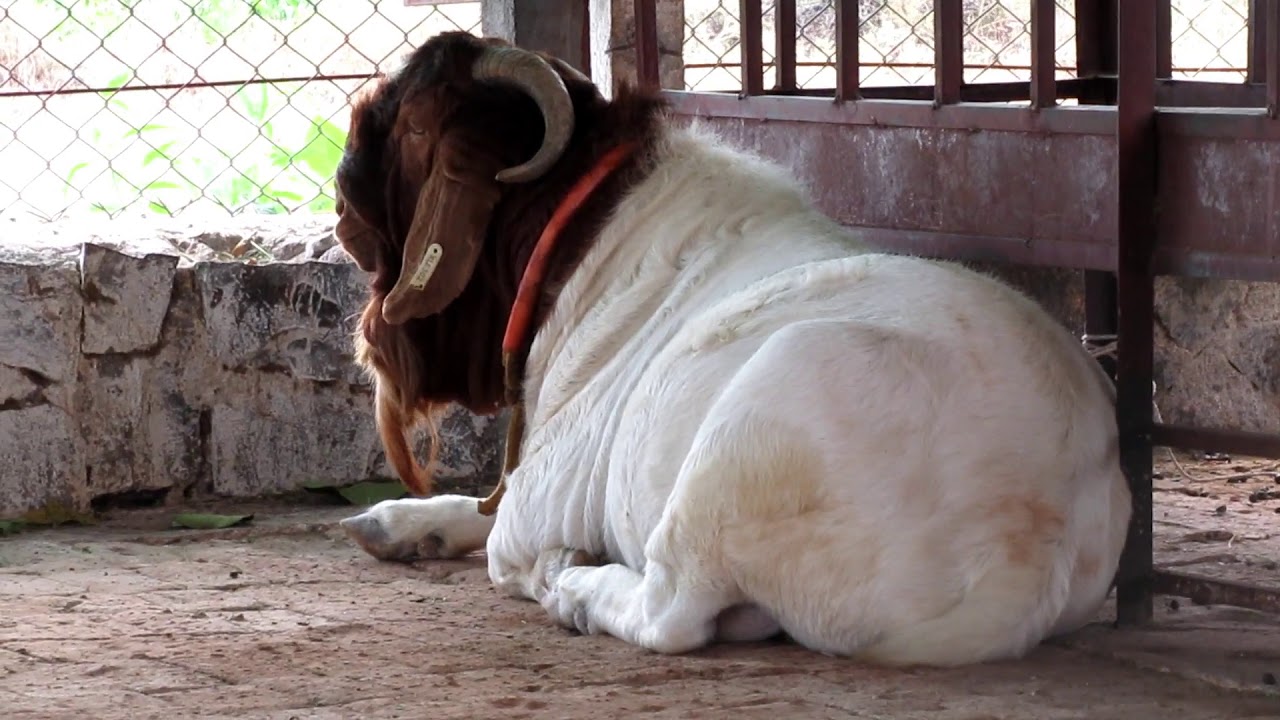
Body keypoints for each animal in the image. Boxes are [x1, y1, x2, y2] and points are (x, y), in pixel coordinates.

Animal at [334, 31, 1132, 666]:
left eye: (409, 122)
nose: (339, 193)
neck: (575, 234)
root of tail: (1028, 546)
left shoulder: (543, 495)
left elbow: (504, 537)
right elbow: (480, 507)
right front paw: (402, 524)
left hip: (746, 438)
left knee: (673, 611)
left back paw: (574, 588)